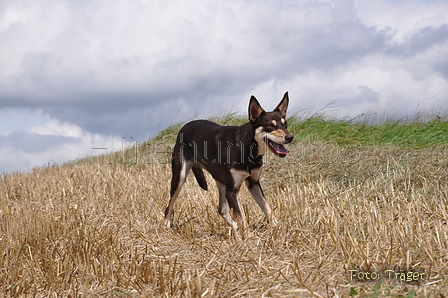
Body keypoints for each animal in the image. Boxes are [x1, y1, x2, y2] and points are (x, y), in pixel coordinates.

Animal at [164, 92, 294, 239]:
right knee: (169, 206)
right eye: (270, 126)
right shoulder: (232, 191)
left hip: (221, 181)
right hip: (180, 177)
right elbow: (241, 217)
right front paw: (249, 237)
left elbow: (267, 208)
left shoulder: (253, 183)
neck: (246, 148)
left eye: (285, 124)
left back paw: (235, 230)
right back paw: (166, 227)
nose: (290, 137)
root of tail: (184, 127)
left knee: (222, 209)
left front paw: (278, 228)